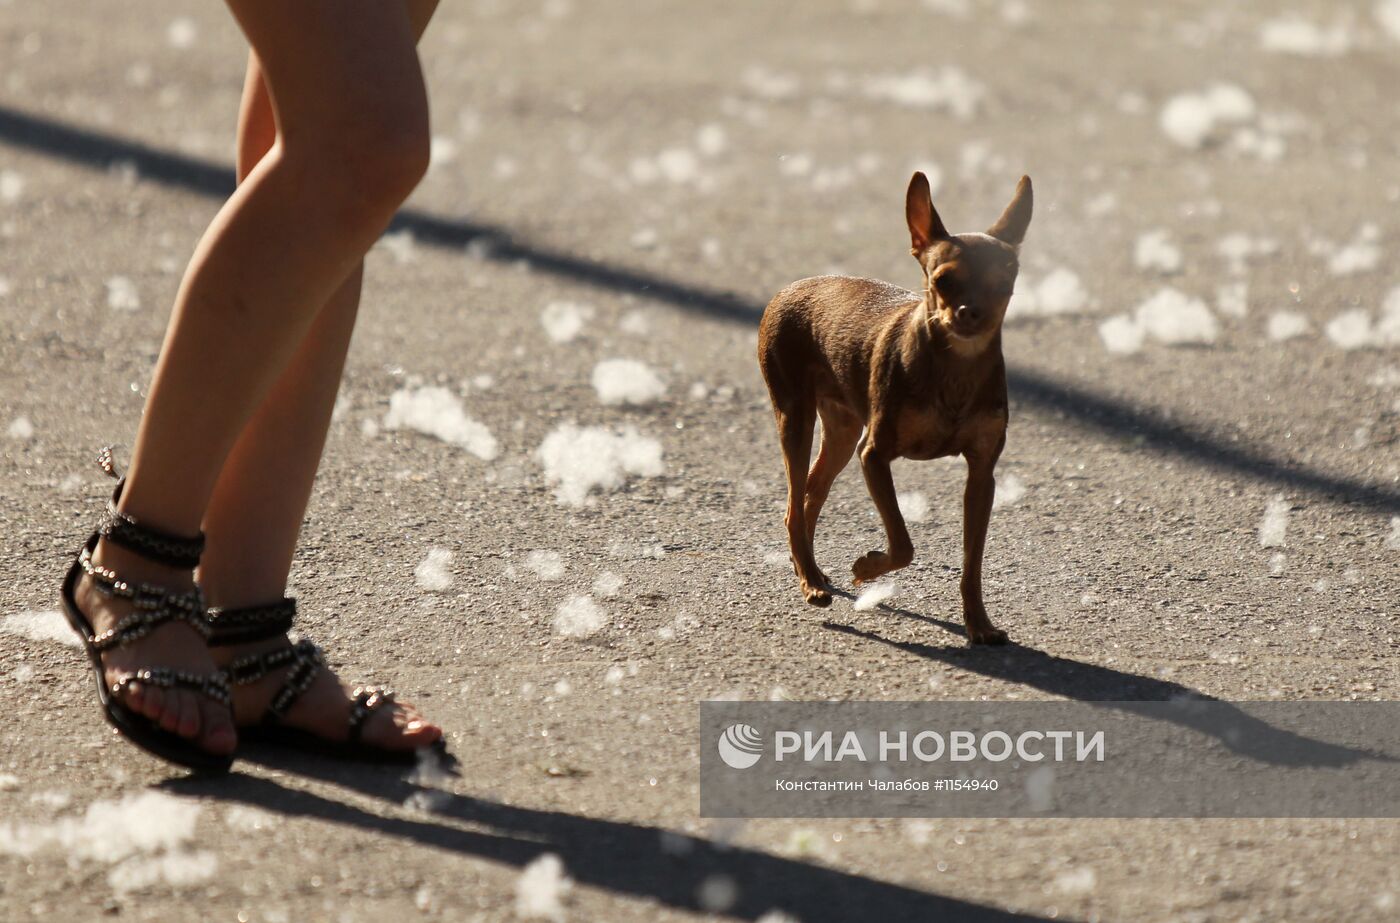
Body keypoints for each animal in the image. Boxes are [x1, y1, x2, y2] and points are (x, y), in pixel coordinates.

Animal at [761, 175, 1036, 649]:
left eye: (1005, 282)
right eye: (943, 280)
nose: (971, 313)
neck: (955, 369)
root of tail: (792, 286)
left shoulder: (981, 474)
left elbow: (973, 563)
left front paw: (979, 624)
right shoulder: (874, 456)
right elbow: (904, 543)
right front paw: (866, 567)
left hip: (842, 430)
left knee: (811, 493)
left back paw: (811, 571)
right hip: (795, 418)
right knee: (795, 503)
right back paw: (810, 582)